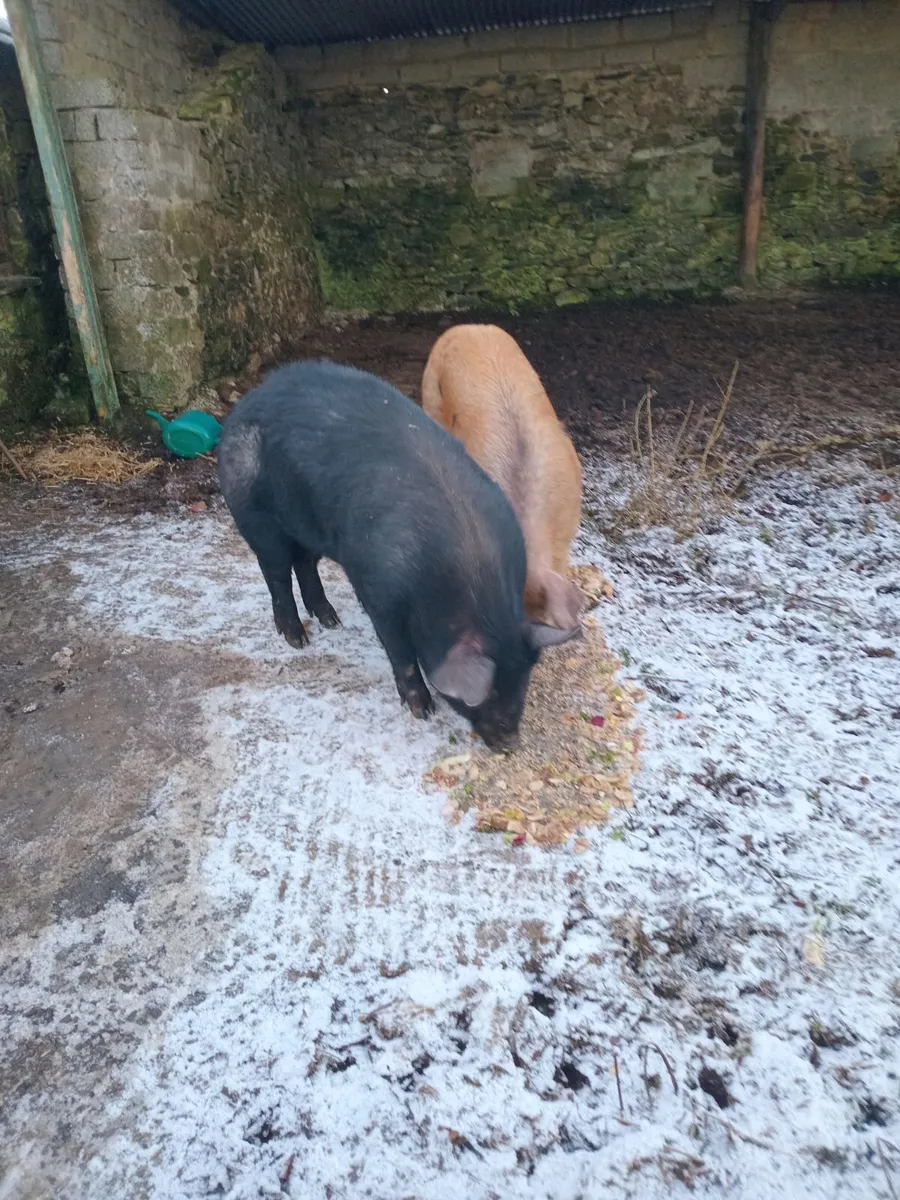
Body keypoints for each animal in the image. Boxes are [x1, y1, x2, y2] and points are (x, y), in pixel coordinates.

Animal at [217, 360, 577, 750]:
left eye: (523, 678)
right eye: (487, 693)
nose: (510, 742)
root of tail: (246, 402)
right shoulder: (379, 590)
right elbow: (400, 651)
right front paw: (423, 711)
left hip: (308, 524)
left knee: (305, 564)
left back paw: (330, 619)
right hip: (254, 513)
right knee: (276, 573)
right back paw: (298, 639)